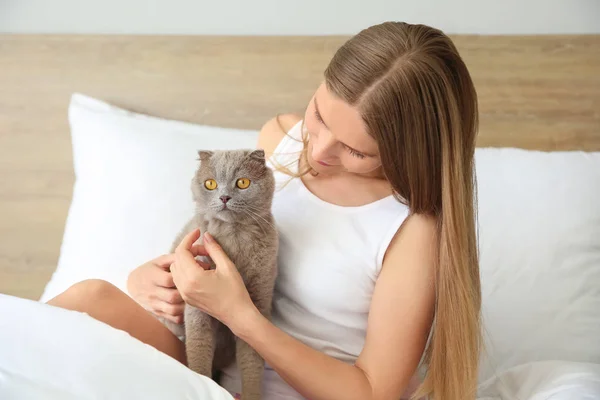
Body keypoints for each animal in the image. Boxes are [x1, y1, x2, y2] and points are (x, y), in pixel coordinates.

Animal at [163, 149, 278, 400]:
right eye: (210, 183)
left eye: (242, 182)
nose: (224, 197)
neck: (234, 237)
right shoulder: (195, 302)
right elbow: (199, 347)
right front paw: (201, 381)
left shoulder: (258, 302)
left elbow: (252, 358)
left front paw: (251, 394)